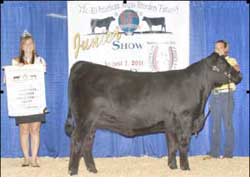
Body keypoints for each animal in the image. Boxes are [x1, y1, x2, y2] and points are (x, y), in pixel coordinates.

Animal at [64, 52, 242, 175]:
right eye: (223, 64)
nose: (239, 75)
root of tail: (81, 64)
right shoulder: (185, 118)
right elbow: (183, 143)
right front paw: (185, 168)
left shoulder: (170, 124)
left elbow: (172, 145)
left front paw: (172, 166)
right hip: (84, 119)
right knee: (77, 141)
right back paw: (73, 171)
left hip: (92, 123)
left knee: (87, 143)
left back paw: (92, 170)